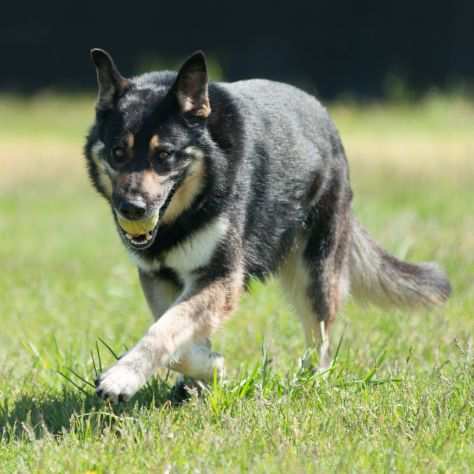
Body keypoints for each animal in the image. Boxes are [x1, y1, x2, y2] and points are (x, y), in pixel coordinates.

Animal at [85, 49, 452, 404]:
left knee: (320, 337)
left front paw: (123, 377)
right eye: (118, 152)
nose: (132, 209)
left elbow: (164, 330)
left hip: (314, 270)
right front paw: (207, 370)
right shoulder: (159, 277)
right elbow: (176, 334)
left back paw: (312, 380)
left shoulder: (221, 275)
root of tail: (325, 119)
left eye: (164, 155)